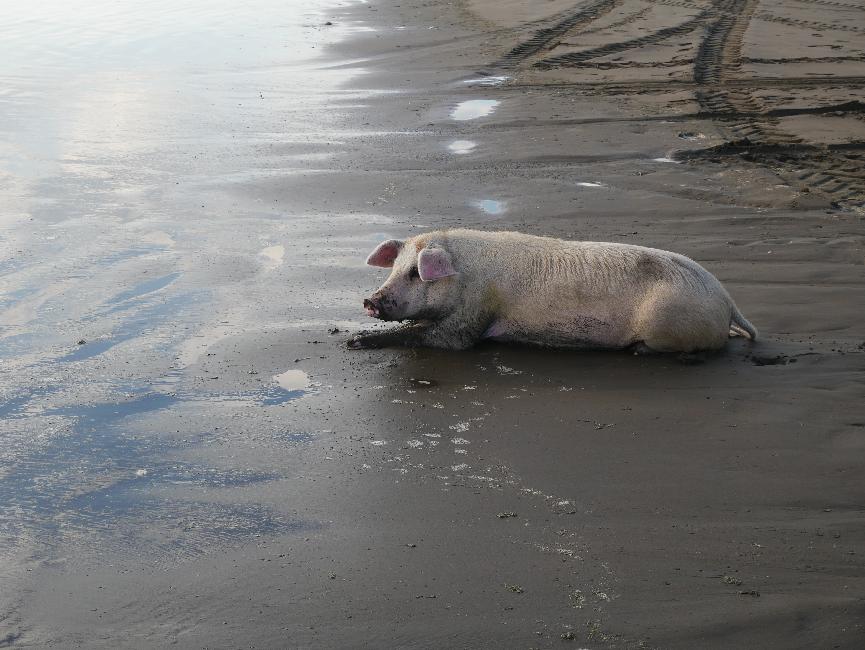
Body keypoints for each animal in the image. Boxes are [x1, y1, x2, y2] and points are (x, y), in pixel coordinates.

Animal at [349, 229, 757, 353]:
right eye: (396, 269)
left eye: (416, 274)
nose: (369, 300)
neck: (464, 275)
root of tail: (727, 300)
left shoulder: (473, 313)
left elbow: (441, 338)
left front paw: (355, 342)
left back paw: (639, 351)